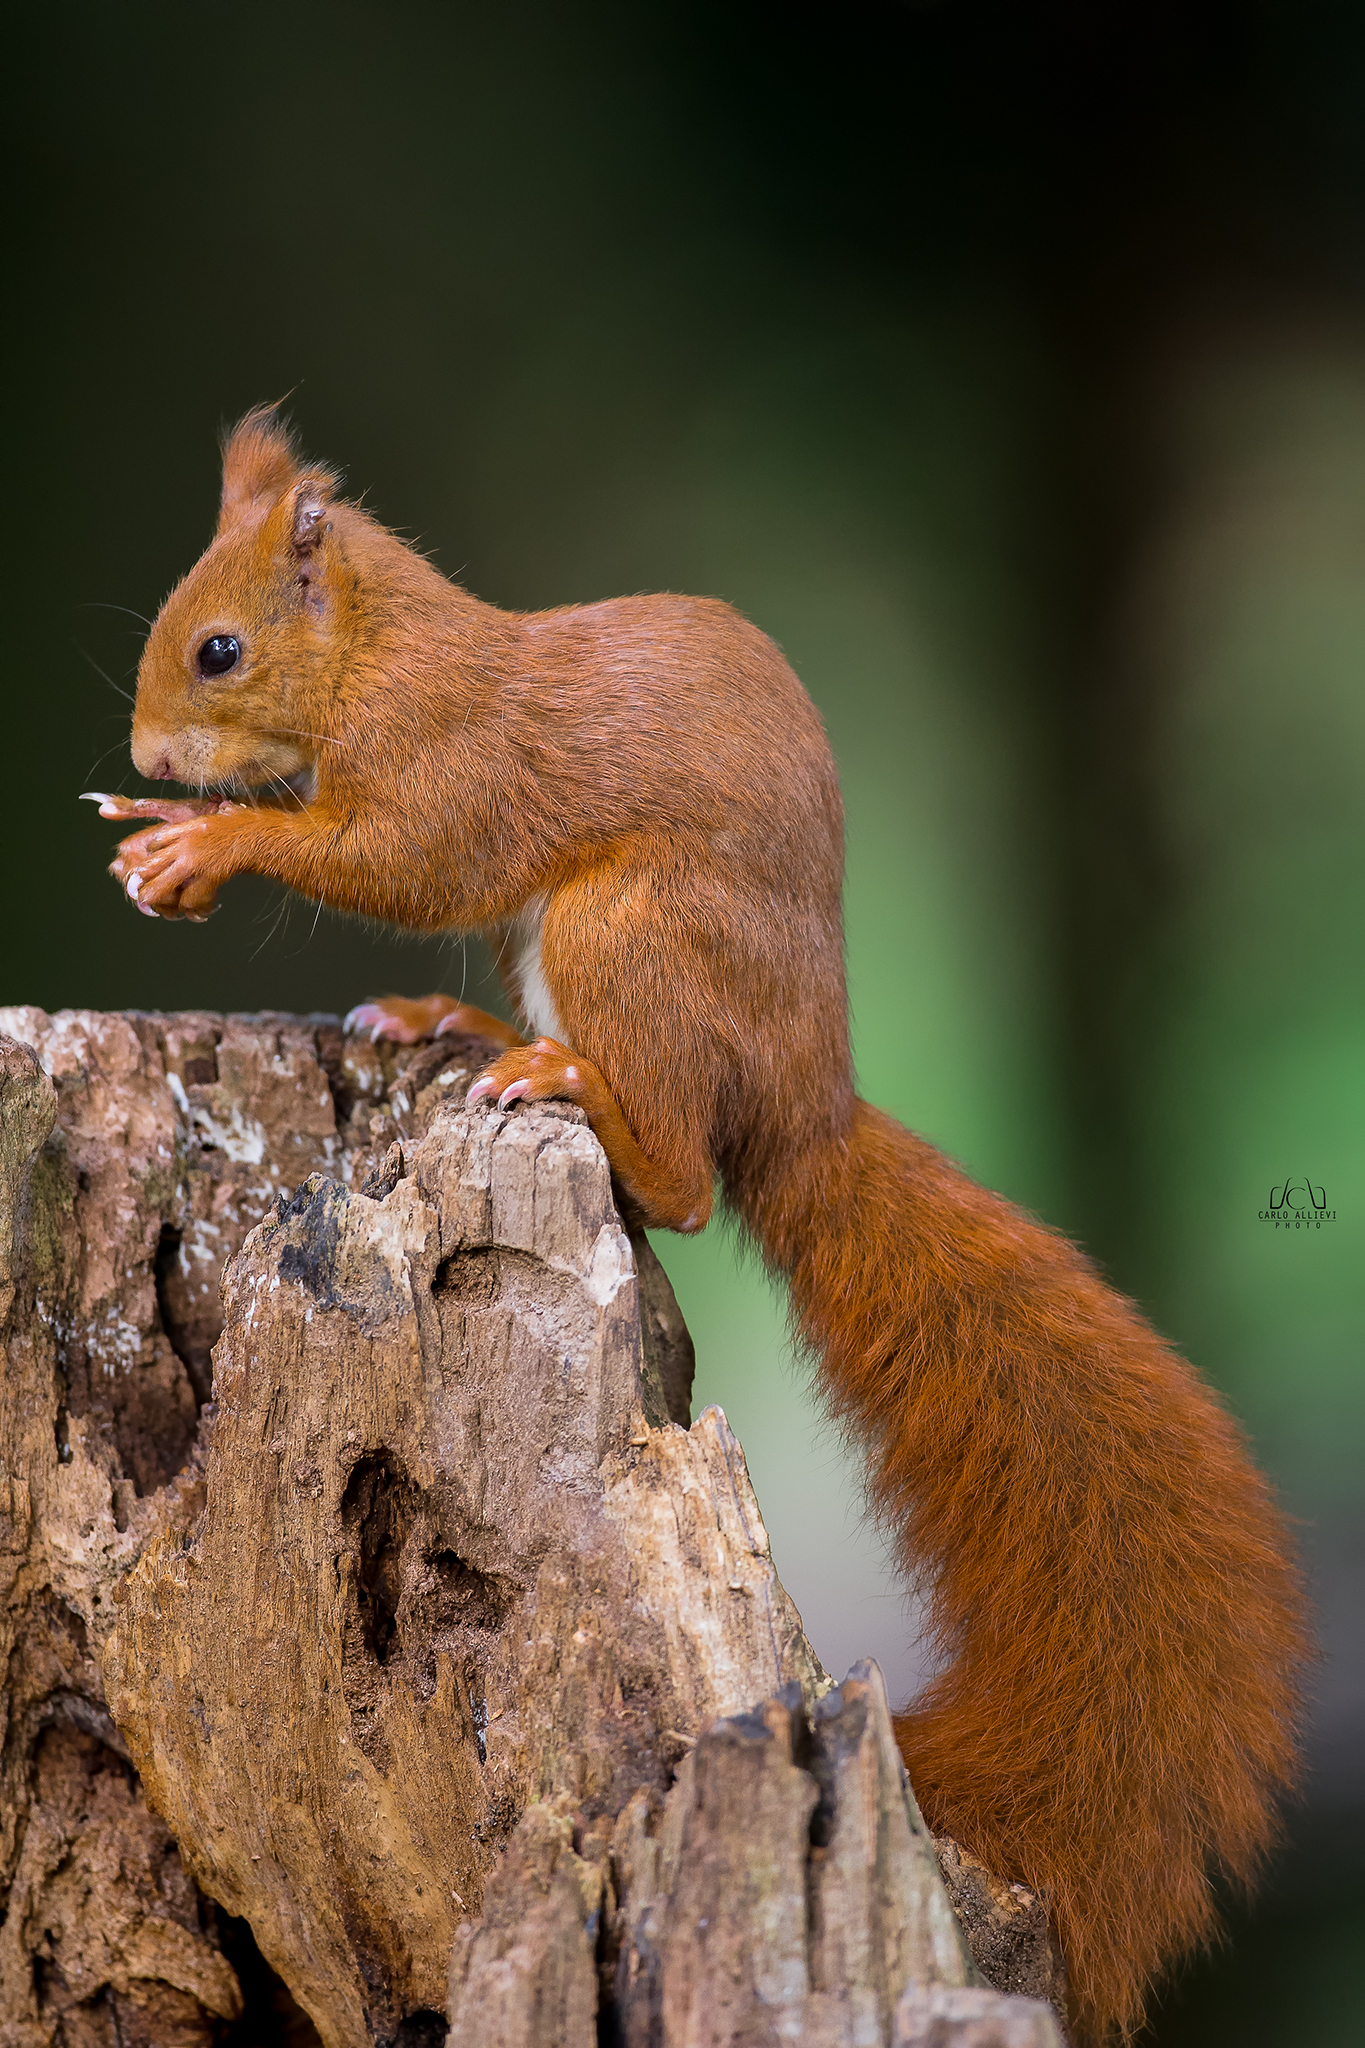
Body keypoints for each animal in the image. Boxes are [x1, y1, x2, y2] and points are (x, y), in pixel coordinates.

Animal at [88, 407, 1305, 2043]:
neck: (380, 653)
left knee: (681, 1183)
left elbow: (402, 858)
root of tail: (804, 1099)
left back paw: (567, 1087)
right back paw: (462, 1025)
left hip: (630, 932)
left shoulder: (452, 763)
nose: (151, 759)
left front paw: (200, 842)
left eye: (218, 650)